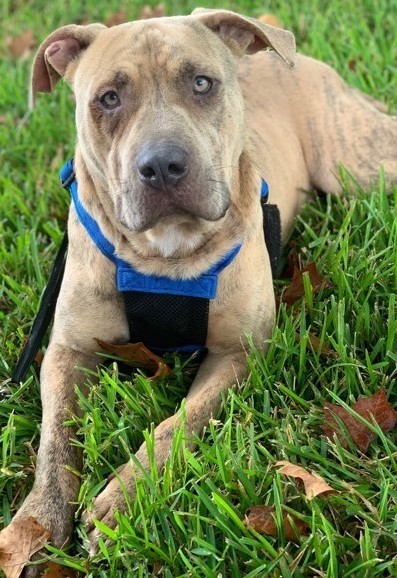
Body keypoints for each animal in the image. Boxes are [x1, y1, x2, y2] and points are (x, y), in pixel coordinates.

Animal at [5, 6, 396, 572]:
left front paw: (123, 500)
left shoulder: (239, 353)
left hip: (362, 164)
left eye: (201, 83)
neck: (164, 256)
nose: (162, 165)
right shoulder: (68, 352)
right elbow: (55, 444)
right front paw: (35, 525)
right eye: (109, 98)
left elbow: (177, 425)